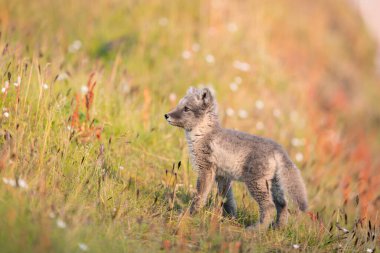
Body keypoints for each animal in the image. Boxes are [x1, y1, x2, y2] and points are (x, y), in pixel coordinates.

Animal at [165, 87, 308, 229]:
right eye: (179, 105)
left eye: (186, 108)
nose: (166, 115)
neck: (203, 134)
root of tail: (278, 148)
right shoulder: (223, 176)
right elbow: (227, 200)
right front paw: (229, 218)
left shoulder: (206, 170)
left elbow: (200, 197)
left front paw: (188, 215)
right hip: (274, 185)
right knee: (282, 205)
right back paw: (277, 228)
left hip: (256, 183)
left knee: (269, 207)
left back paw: (256, 229)